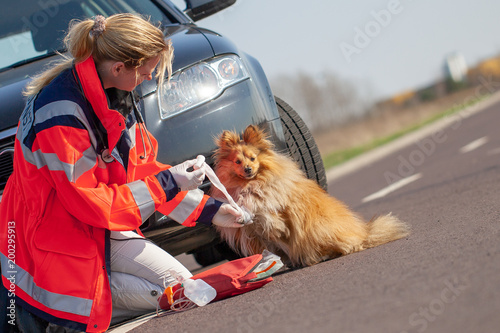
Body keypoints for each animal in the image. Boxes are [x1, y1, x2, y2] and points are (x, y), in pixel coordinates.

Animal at [211, 124, 410, 268]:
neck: (249, 184)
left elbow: (274, 223)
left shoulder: (276, 213)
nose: (248, 169)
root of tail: (365, 233)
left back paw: (324, 255)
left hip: (319, 228)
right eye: (238, 161)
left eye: (252, 158)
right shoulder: (254, 234)